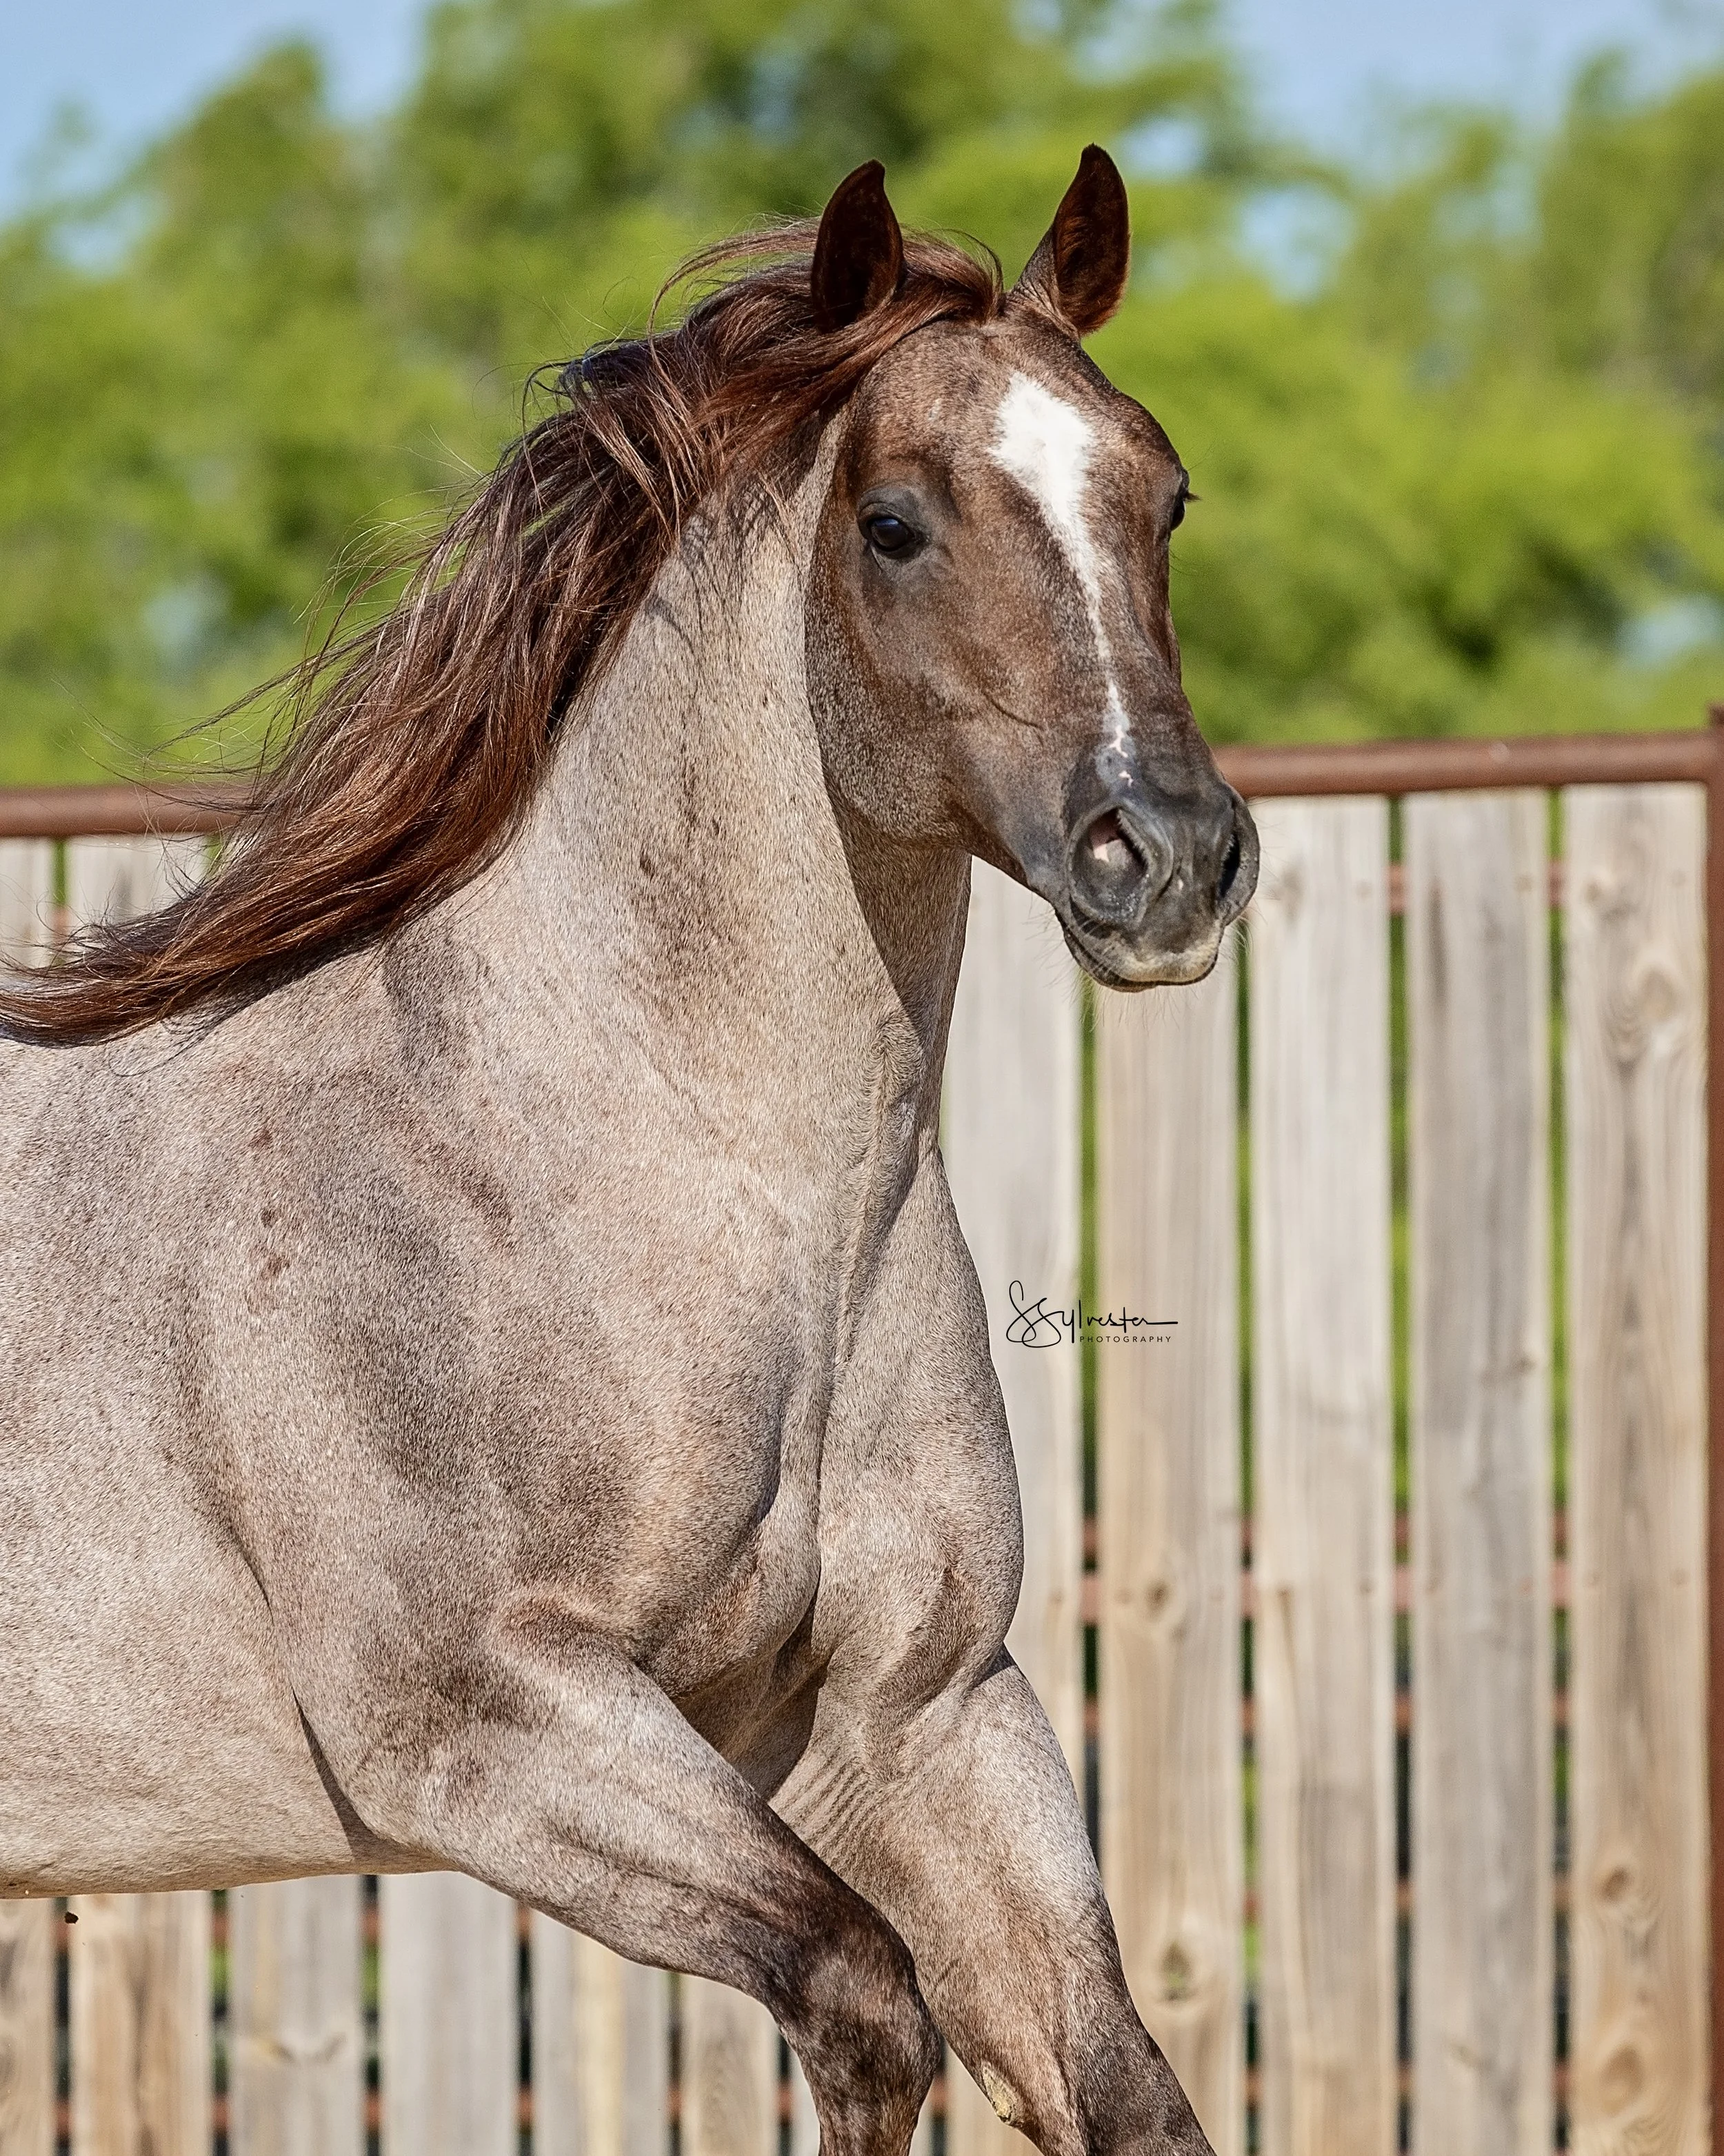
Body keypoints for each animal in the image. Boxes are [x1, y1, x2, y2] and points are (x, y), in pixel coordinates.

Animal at [0, 149, 1256, 2156]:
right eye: (895, 522)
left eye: (1164, 492)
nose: (1171, 856)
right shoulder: (491, 1722)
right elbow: (862, 2004)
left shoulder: (924, 1715)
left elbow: (1122, 2087)